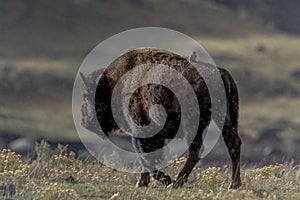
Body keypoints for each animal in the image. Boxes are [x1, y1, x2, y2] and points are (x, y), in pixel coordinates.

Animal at [79, 47, 241, 188]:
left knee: (196, 150)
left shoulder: (140, 131)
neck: (117, 84)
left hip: (194, 124)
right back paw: (234, 185)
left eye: (87, 95)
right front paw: (143, 183)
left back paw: (176, 183)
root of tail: (221, 73)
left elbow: (145, 157)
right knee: (233, 143)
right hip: (226, 117)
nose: (83, 122)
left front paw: (162, 180)